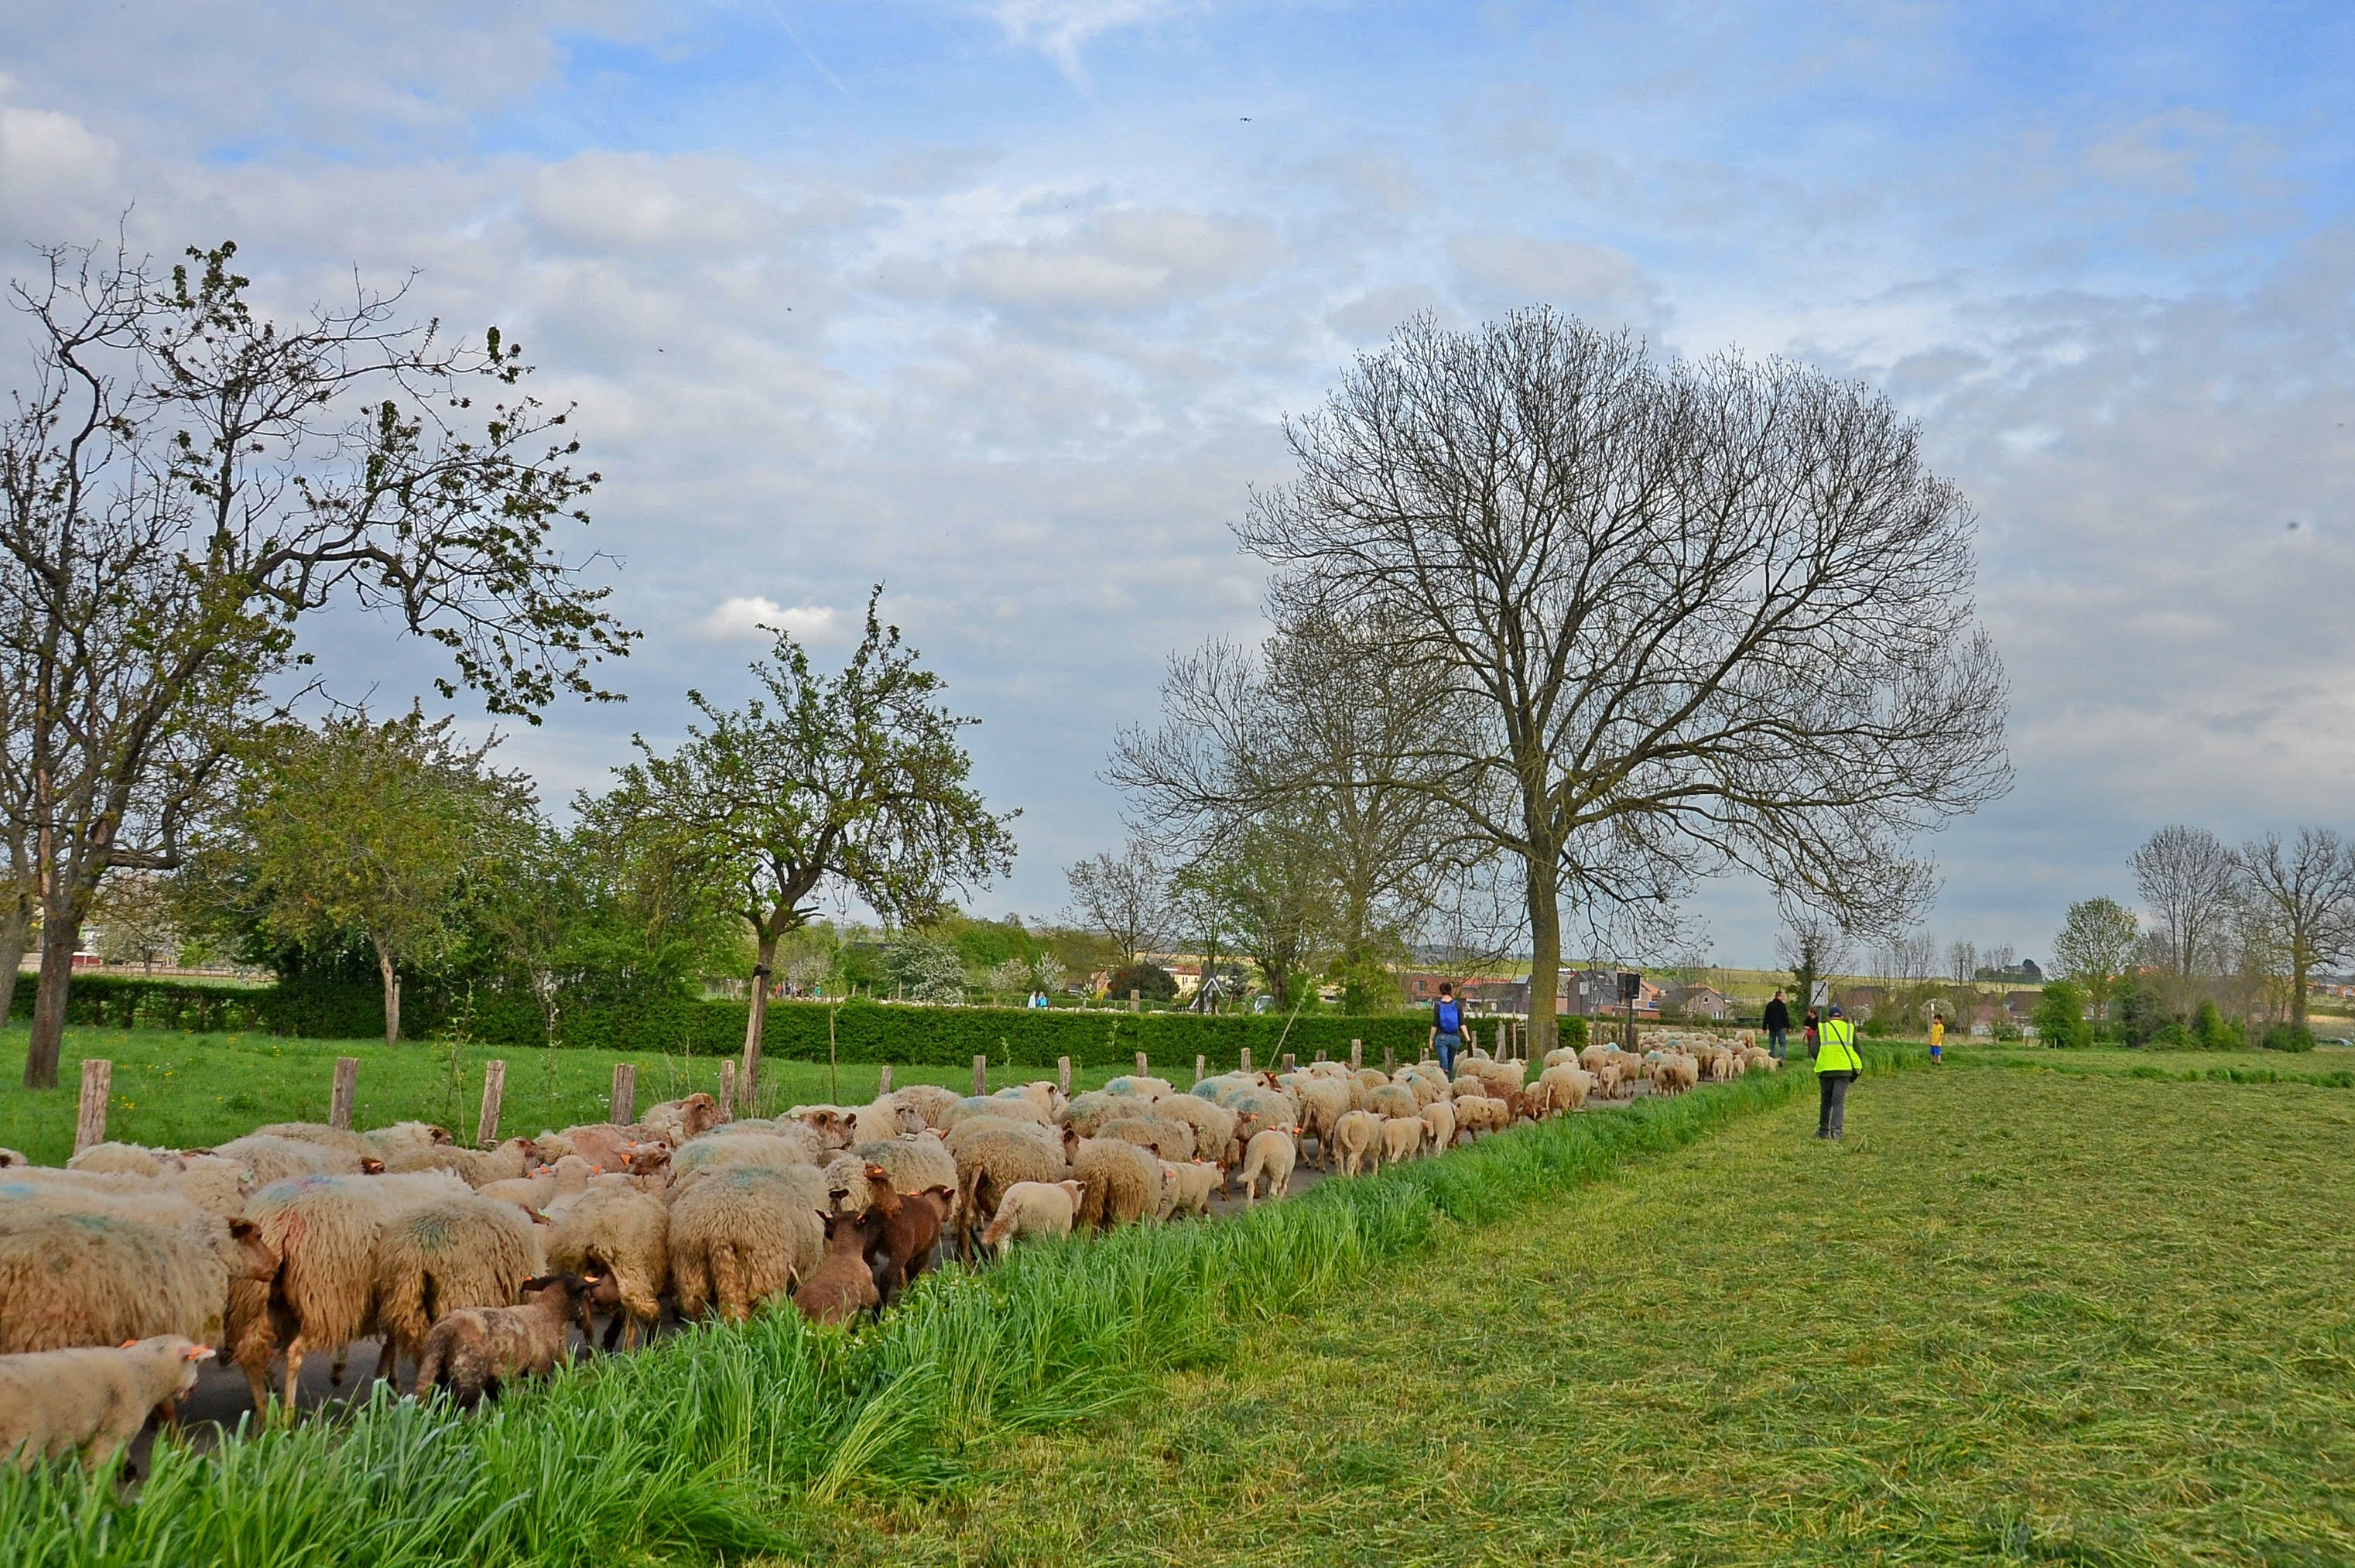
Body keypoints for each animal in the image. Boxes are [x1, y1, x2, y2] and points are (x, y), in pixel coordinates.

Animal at [412, 1271, 603, 1403]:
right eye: (583, 1294)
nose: (584, 1319)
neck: (548, 1312)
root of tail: (442, 1333)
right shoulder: (539, 1369)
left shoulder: (496, 1380)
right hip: (466, 1379)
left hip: (438, 1377)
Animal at [974, 1172, 1083, 1243]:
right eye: (1082, 1194)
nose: (1077, 1212)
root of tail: (1015, 1199)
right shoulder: (1063, 1227)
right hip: (1036, 1226)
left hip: (1007, 1222)